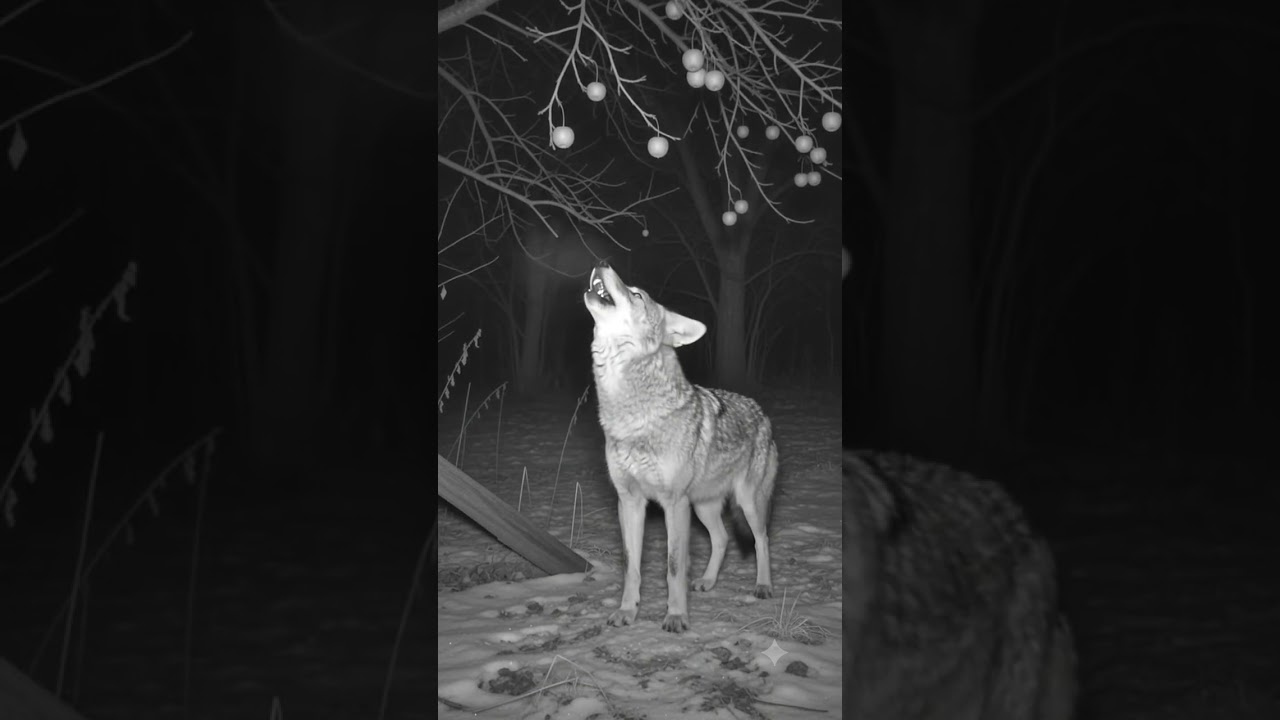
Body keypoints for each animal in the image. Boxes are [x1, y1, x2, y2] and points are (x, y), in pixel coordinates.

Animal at [583, 262, 777, 633]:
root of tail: (763, 414)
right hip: (702, 506)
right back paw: (708, 581)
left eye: (637, 294)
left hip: (746, 503)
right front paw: (627, 611)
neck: (632, 417)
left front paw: (675, 616)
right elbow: (631, 565)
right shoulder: (629, 501)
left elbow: (674, 566)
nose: (602, 261)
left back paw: (763, 585)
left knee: (761, 539)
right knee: (722, 539)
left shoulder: (674, 503)